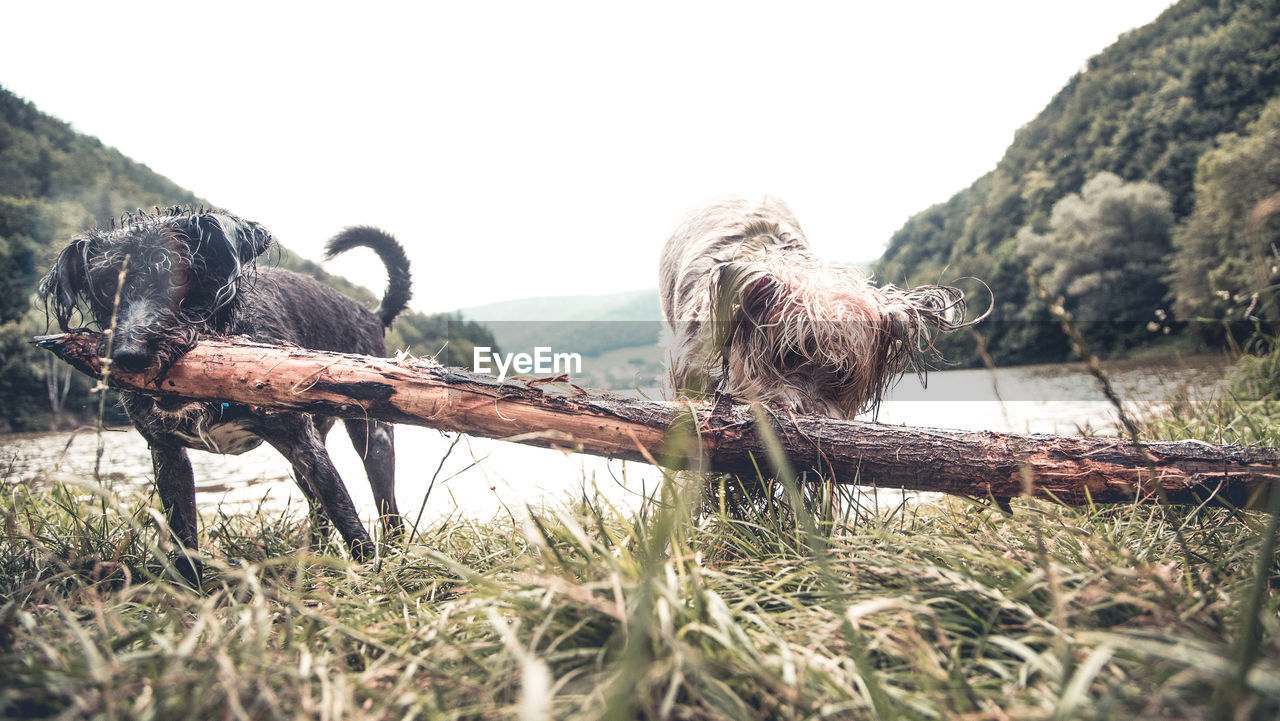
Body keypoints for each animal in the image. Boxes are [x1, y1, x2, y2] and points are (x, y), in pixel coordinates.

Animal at [40, 206, 412, 578]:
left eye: (178, 277)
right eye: (106, 285)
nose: (131, 355)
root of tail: (370, 315)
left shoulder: (303, 446)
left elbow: (345, 513)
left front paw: (372, 575)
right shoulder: (167, 455)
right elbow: (183, 538)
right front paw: (189, 590)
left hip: (372, 439)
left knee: (388, 510)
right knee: (318, 511)